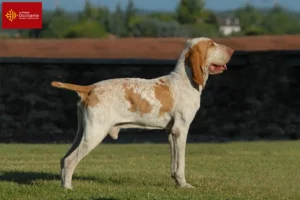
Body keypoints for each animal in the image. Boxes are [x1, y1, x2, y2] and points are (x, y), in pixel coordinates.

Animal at [51, 37, 234, 189]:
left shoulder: (171, 133)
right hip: (95, 133)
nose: (232, 50)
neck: (184, 80)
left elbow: (174, 163)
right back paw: (68, 188)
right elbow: (181, 163)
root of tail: (90, 88)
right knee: (70, 161)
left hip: (83, 132)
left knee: (63, 159)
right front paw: (183, 185)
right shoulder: (181, 130)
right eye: (211, 44)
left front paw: (177, 182)